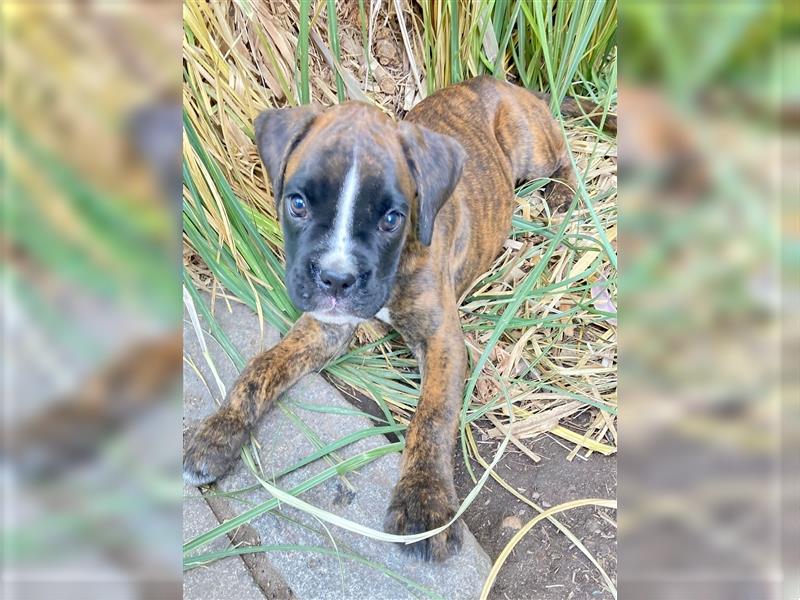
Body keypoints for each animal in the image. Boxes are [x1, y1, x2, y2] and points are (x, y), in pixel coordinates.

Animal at [186, 76, 612, 564]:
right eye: (297, 204)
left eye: (392, 218)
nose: (336, 279)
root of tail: (501, 82)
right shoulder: (326, 325)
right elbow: (261, 367)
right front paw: (218, 433)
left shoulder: (441, 339)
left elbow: (433, 414)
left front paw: (423, 499)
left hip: (530, 148)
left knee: (563, 155)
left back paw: (563, 194)